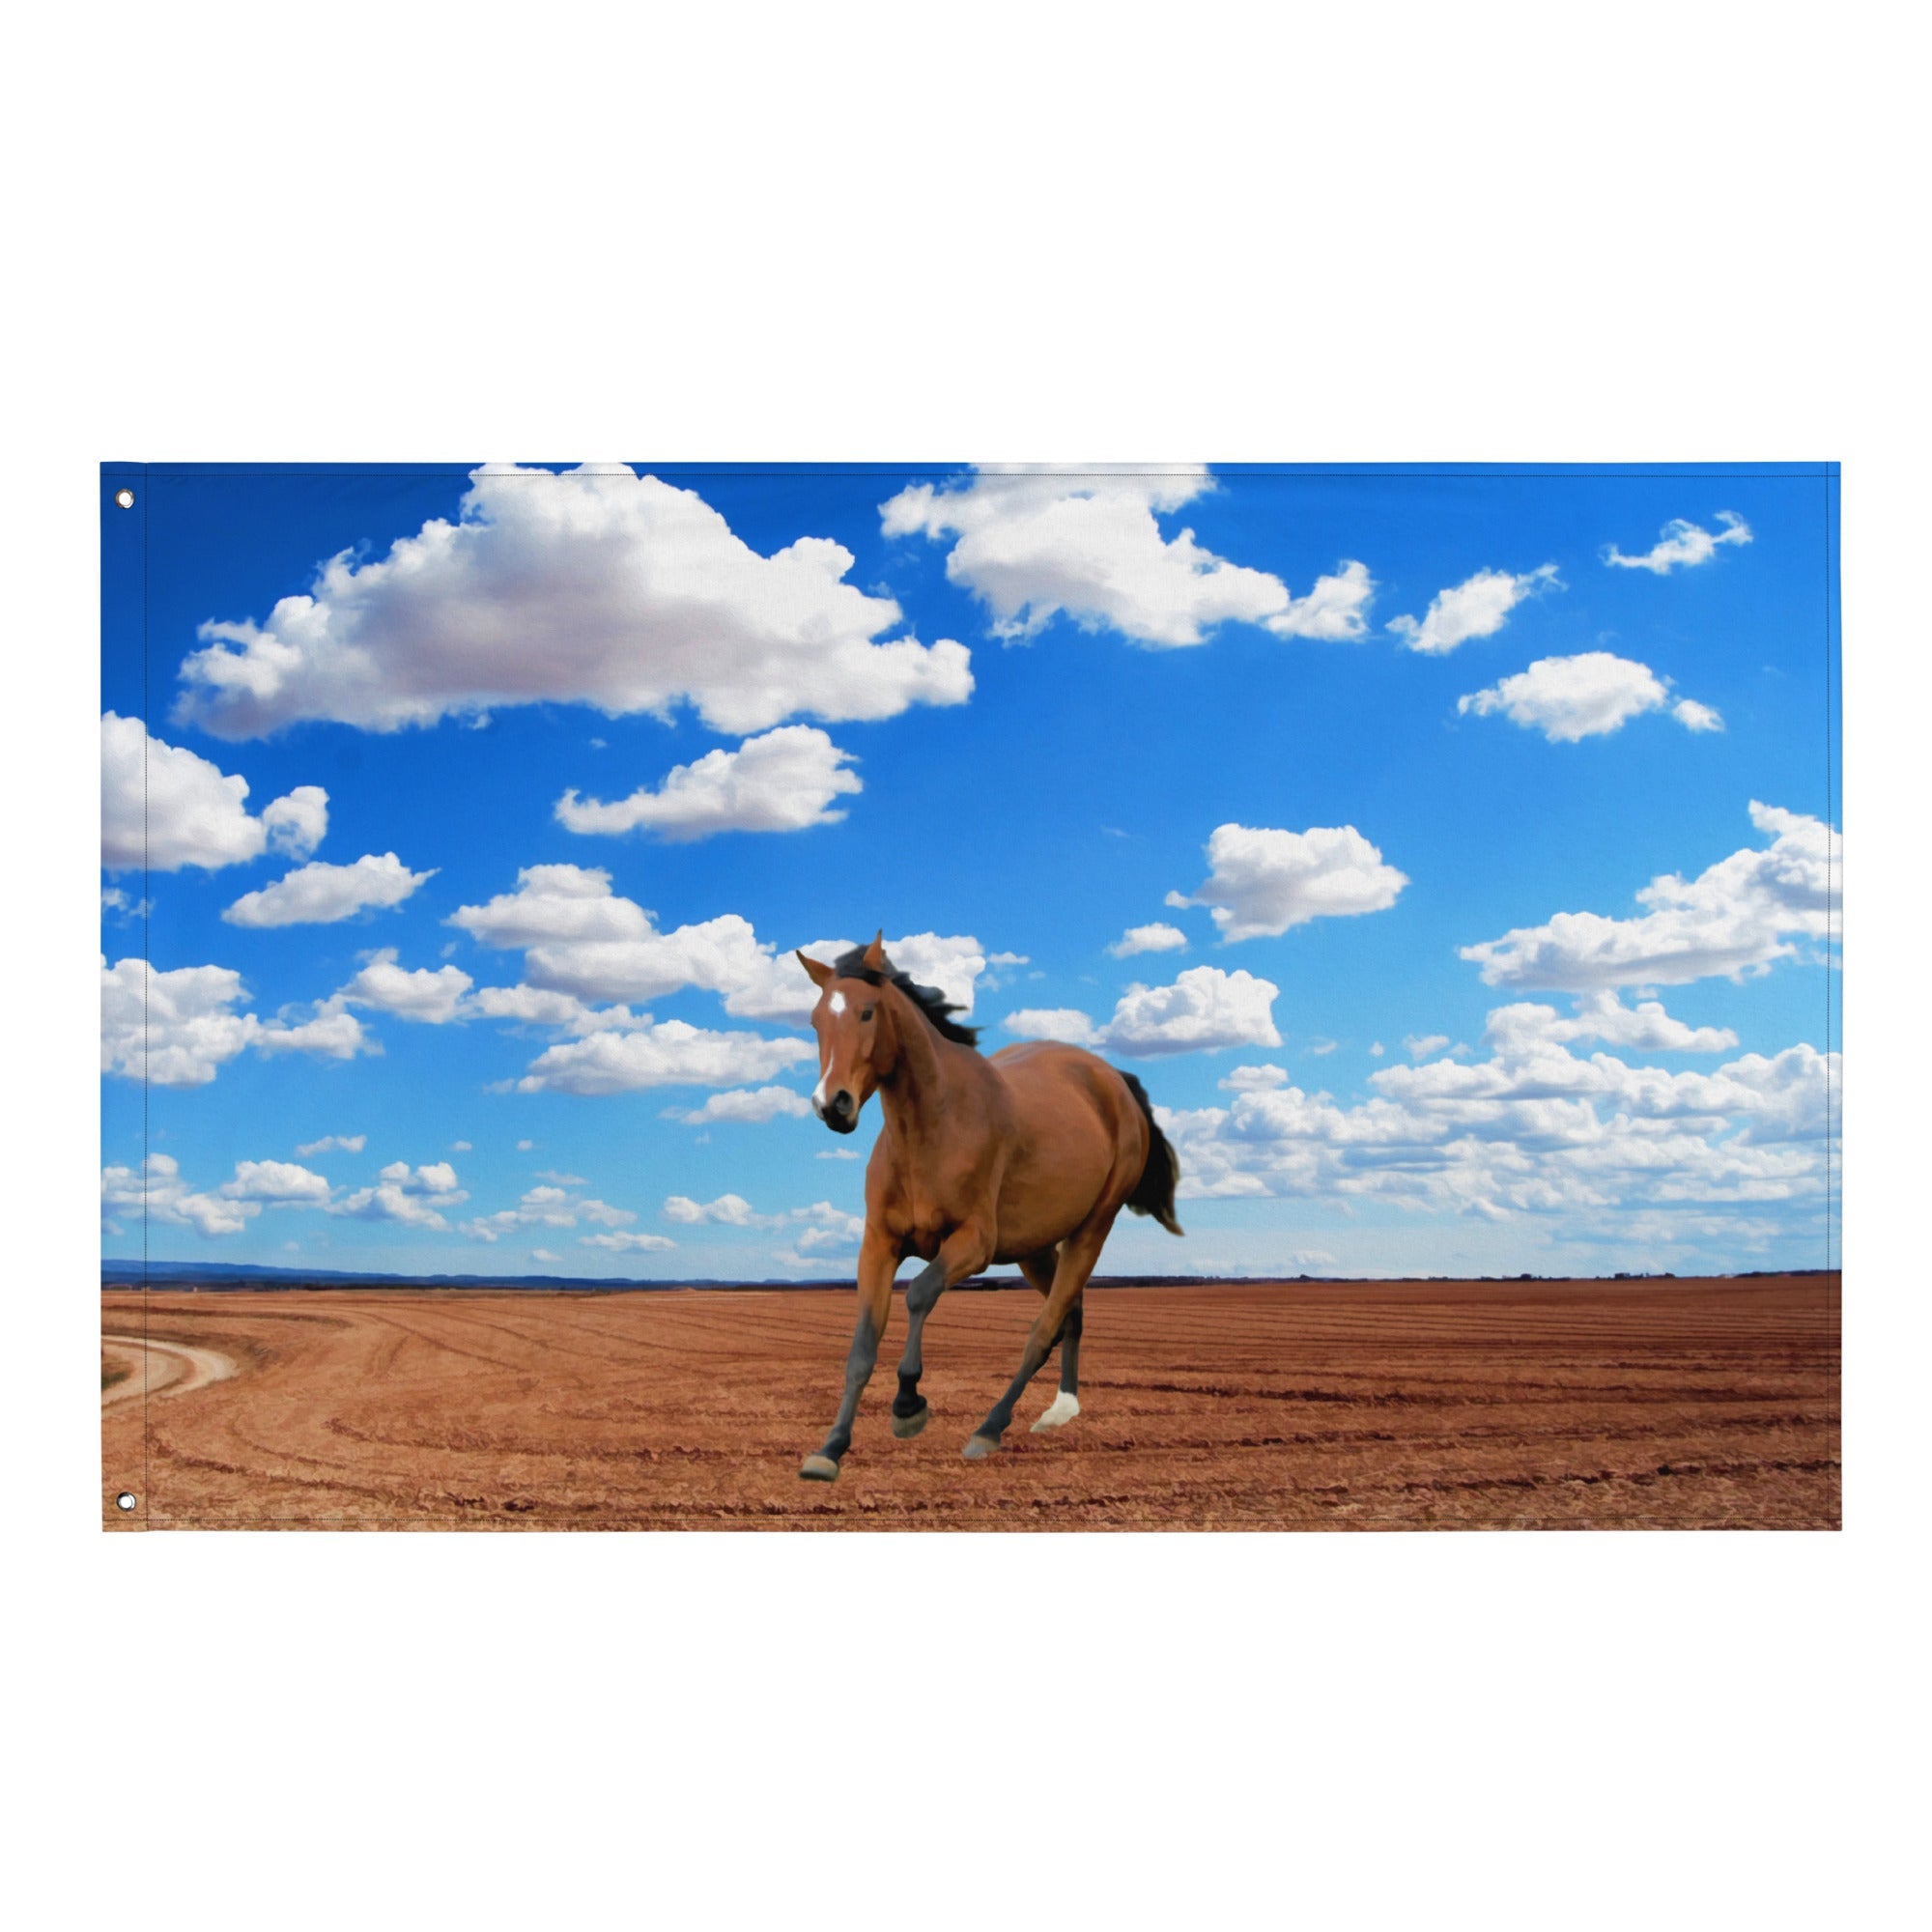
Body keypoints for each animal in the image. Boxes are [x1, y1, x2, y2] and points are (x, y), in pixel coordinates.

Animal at [793, 933, 1182, 1481]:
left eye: (867, 1012)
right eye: (815, 1021)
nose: (833, 1105)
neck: (928, 1131)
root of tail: (1112, 1079)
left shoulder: (973, 1244)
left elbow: (920, 1295)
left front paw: (908, 1406)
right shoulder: (878, 1246)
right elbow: (863, 1345)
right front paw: (830, 1449)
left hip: (1091, 1230)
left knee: (1044, 1327)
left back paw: (990, 1428)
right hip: (1034, 1248)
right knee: (1071, 1312)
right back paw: (1060, 1410)